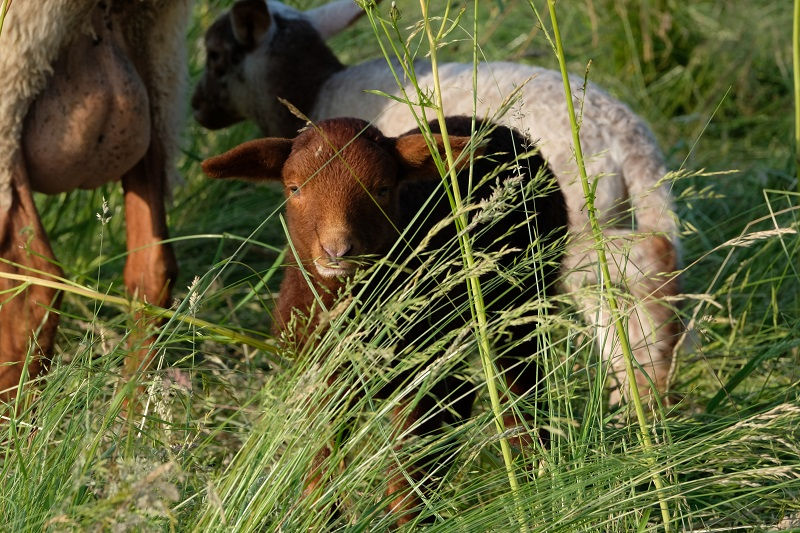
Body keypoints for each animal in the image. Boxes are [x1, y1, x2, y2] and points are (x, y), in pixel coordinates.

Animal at [191, 0, 682, 405]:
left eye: (214, 55)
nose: (197, 108)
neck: (314, 89)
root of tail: (629, 137)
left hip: (575, 224)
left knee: (642, 263)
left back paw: (644, 388)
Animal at [202, 116, 568, 523]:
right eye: (294, 188)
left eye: (381, 188)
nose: (337, 250)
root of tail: (494, 125)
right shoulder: (318, 380)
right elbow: (320, 466)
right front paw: (319, 518)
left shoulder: (418, 380)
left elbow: (407, 477)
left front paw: (410, 521)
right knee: (464, 395)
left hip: (521, 301)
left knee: (522, 394)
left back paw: (535, 474)